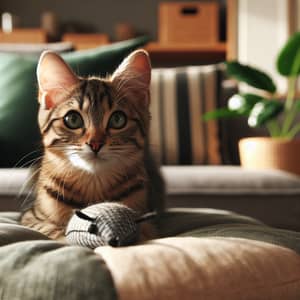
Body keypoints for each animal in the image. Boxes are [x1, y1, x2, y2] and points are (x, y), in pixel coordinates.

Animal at [20, 49, 166, 241]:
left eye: (118, 119)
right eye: (72, 119)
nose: (95, 143)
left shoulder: (152, 221)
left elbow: (147, 231)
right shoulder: (31, 218)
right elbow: (52, 230)